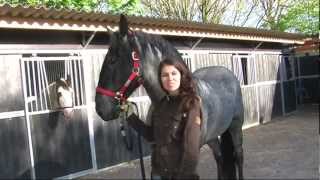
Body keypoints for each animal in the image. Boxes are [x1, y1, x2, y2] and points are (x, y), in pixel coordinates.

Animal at [95, 14, 245, 179]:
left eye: (112, 60)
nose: (100, 109)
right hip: (212, 137)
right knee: (219, 158)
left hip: (236, 127)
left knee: (238, 157)